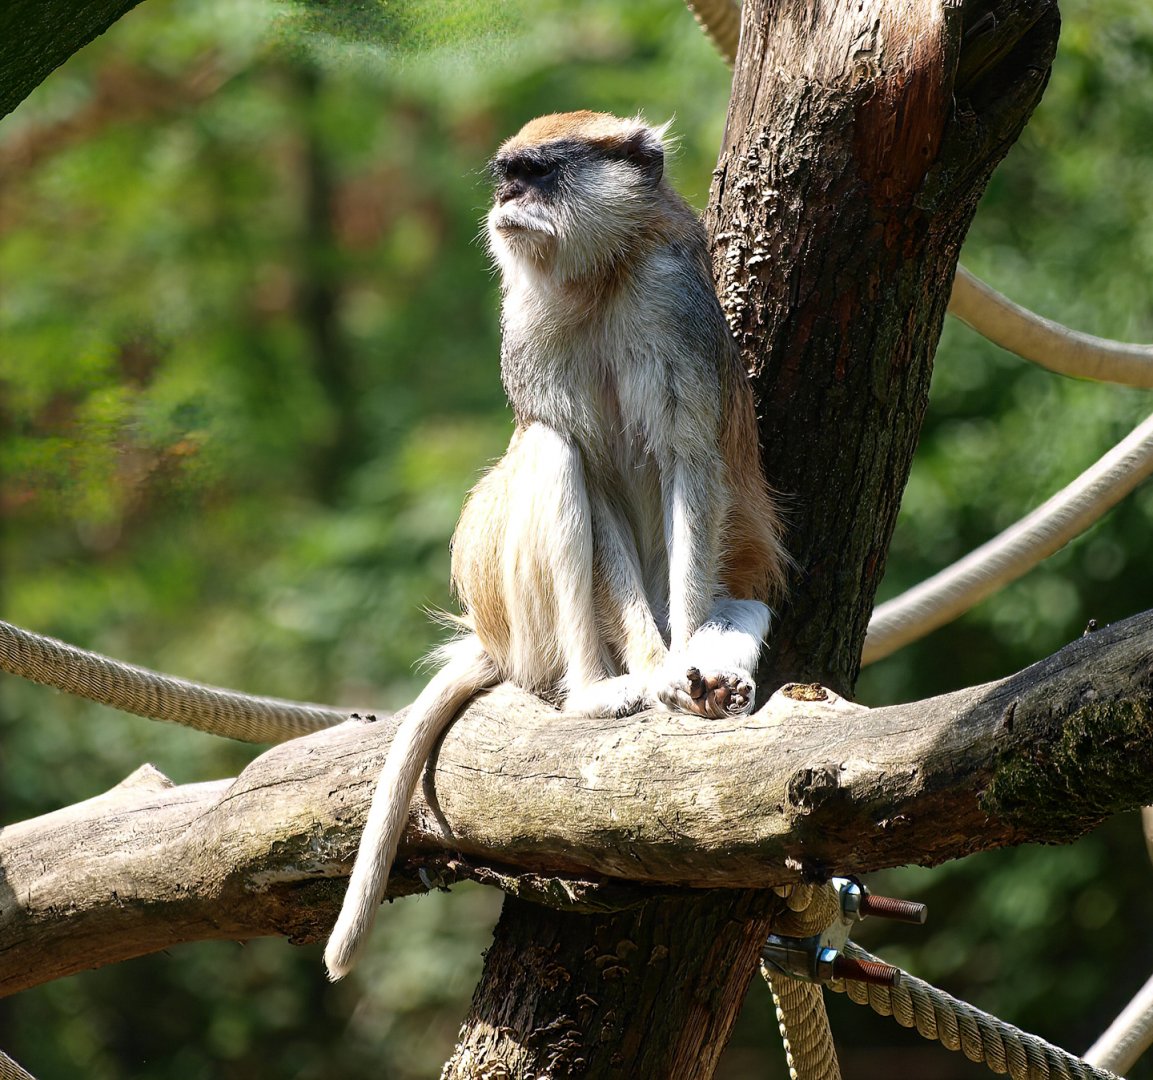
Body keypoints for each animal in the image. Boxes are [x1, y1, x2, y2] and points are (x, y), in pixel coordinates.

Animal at [322, 111, 788, 980]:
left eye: (539, 174)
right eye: (506, 175)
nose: (507, 201)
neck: (598, 275)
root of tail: (490, 636)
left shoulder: (672, 304)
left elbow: (689, 460)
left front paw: (691, 666)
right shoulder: (527, 331)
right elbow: (581, 463)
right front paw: (659, 672)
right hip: (520, 614)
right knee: (549, 451)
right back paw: (595, 693)